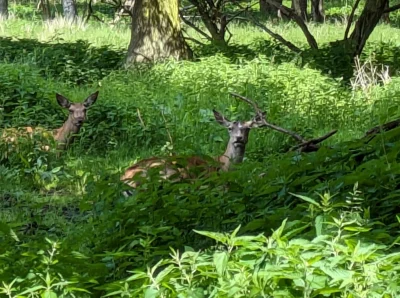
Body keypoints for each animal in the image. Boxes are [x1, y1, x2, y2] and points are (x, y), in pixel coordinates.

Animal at [121, 108, 266, 194]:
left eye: (247, 128)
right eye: (229, 128)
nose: (239, 138)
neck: (225, 165)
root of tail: (125, 180)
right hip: (168, 170)